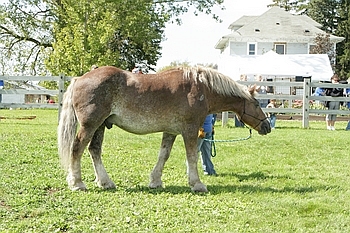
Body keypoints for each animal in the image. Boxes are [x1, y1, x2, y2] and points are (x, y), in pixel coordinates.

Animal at [58, 65, 270, 191]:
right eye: (257, 104)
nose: (267, 126)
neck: (200, 88)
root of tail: (80, 78)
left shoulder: (171, 131)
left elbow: (163, 155)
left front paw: (155, 181)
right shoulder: (190, 129)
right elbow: (192, 156)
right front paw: (197, 184)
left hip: (101, 125)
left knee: (94, 150)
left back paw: (105, 182)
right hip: (90, 124)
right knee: (77, 148)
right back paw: (77, 183)